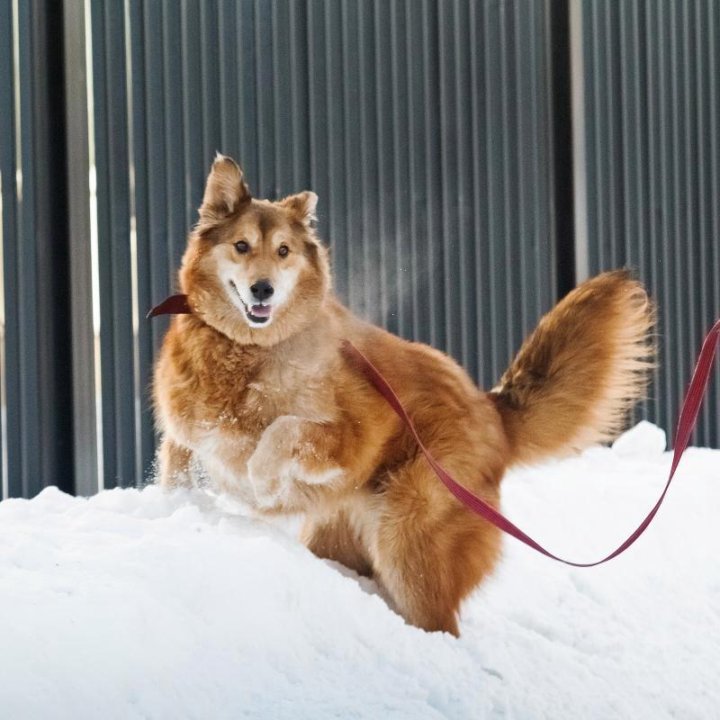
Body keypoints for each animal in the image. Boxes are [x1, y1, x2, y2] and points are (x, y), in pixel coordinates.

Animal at [155, 156, 656, 636]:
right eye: (241, 246)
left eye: (283, 251)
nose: (263, 288)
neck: (248, 351)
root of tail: (490, 409)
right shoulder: (185, 436)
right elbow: (177, 472)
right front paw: (177, 508)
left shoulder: (350, 437)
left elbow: (281, 432)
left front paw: (259, 484)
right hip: (340, 538)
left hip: (410, 539)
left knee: (437, 621)